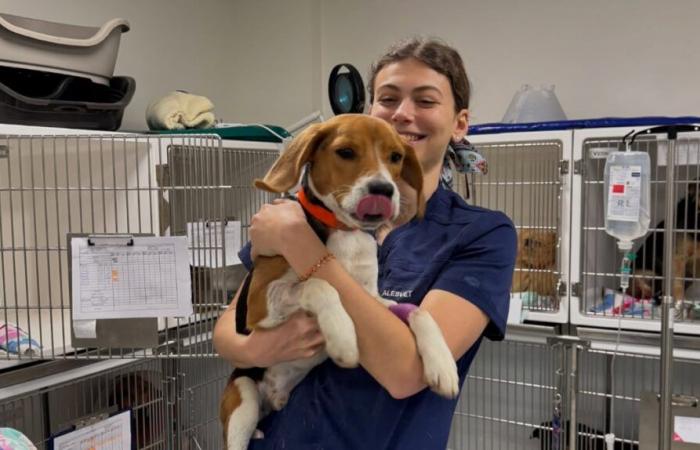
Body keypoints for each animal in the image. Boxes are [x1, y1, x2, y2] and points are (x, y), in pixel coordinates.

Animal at [212, 37, 516, 448]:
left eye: (396, 157)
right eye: (345, 152)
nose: (383, 190)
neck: (345, 232)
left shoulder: (372, 300)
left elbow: (417, 310)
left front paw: (442, 366)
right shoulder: (260, 305)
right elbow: (319, 283)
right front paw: (343, 337)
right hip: (241, 397)